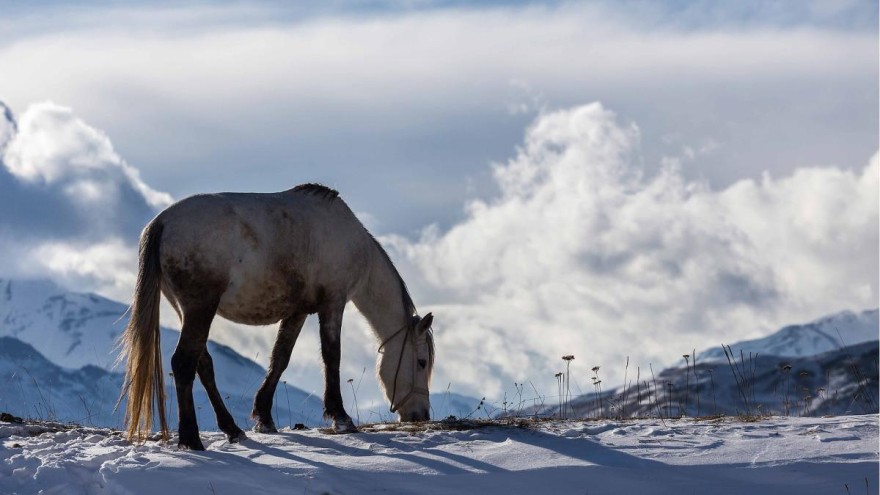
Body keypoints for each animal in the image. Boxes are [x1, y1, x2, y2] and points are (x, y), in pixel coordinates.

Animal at [118, 184, 434, 452]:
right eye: (421, 362)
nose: (420, 415)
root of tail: (162, 222)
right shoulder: (333, 304)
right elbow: (332, 356)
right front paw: (341, 417)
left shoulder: (298, 312)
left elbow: (280, 358)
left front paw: (264, 417)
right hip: (200, 308)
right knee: (184, 363)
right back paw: (191, 439)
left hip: (187, 310)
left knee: (202, 364)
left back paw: (232, 429)